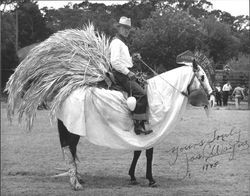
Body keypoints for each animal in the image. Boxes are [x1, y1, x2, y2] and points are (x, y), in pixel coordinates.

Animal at [54, 61, 213, 190]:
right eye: (202, 77)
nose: (212, 97)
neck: (160, 94)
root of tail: (65, 93)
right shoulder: (151, 133)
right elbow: (148, 154)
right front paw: (151, 179)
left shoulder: (141, 135)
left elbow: (137, 152)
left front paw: (133, 177)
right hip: (72, 130)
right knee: (69, 148)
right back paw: (75, 182)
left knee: (72, 149)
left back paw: (78, 177)